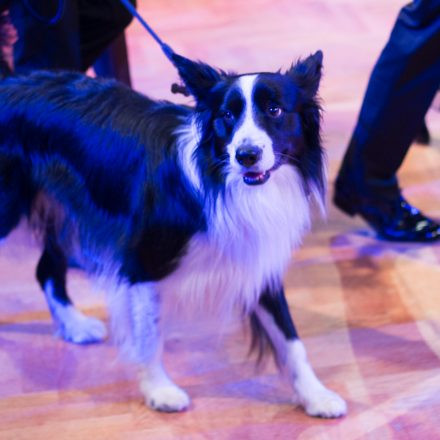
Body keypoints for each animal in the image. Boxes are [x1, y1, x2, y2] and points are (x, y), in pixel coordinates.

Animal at [0, 34, 348, 416]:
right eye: (228, 115)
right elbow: (150, 334)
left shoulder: (257, 256)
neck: (221, 179)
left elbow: (290, 339)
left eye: (274, 110)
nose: (246, 155)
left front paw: (316, 395)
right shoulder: (143, 260)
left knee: (46, 267)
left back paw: (74, 324)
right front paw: (159, 390)